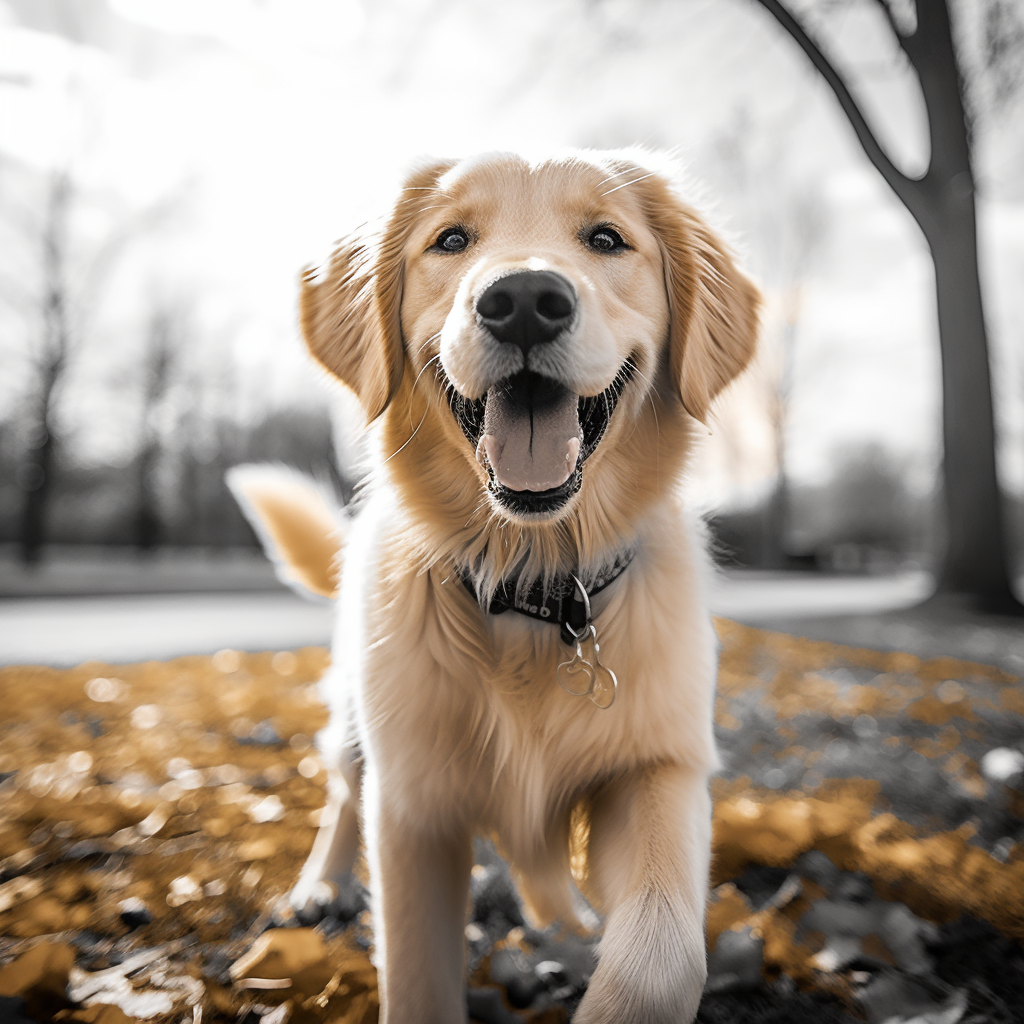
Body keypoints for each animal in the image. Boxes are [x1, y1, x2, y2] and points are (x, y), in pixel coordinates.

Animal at [232, 151, 761, 1024]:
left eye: (606, 238)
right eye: (451, 239)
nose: (522, 302)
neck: (536, 584)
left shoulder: (660, 766)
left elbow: (662, 954)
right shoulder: (411, 807)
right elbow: (416, 976)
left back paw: (564, 923)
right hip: (356, 719)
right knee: (343, 790)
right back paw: (321, 886)